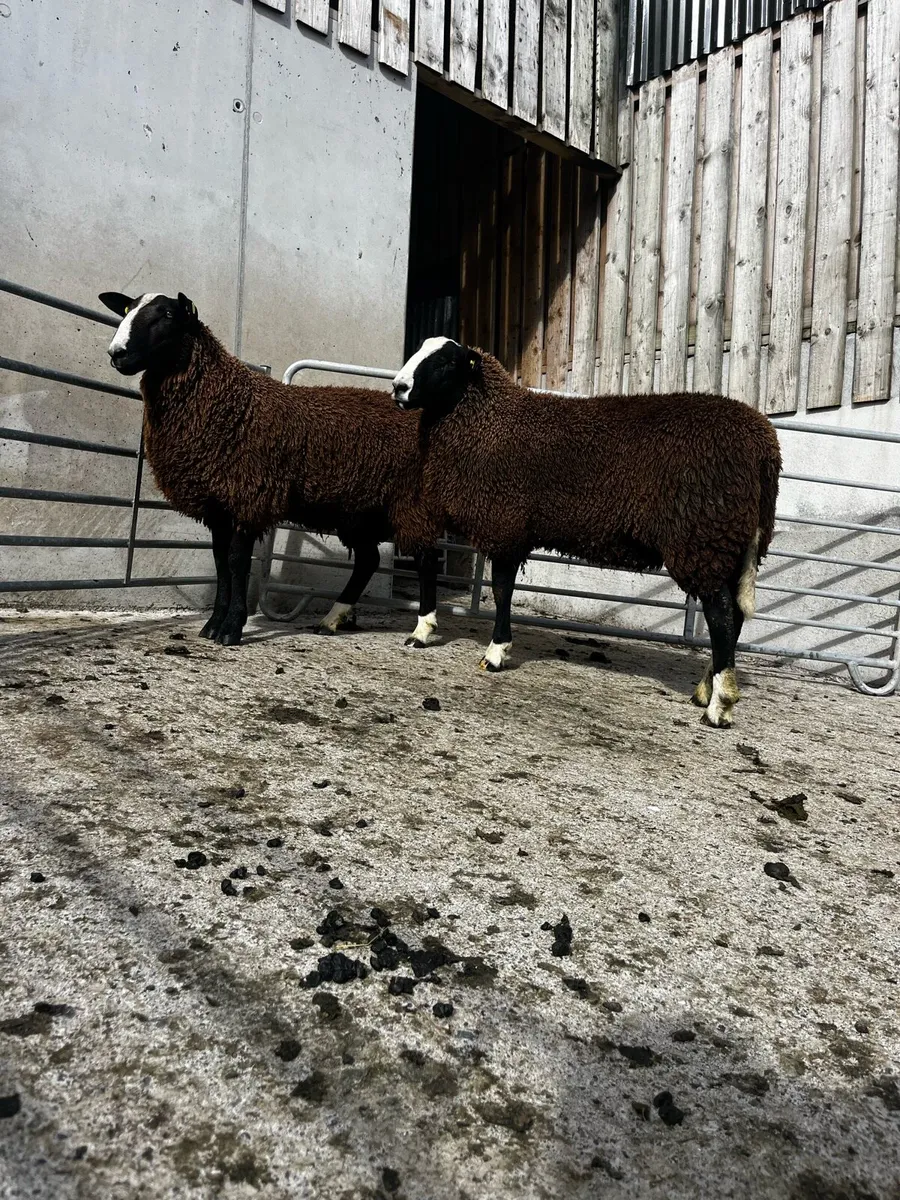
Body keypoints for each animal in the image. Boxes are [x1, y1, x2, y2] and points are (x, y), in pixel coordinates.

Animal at [100, 290, 441, 647]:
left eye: (167, 314)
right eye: (127, 309)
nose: (117, 354)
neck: (227, 401)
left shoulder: (249, 496)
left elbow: (236, 562)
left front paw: (231, 628)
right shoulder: (218, 506)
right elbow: (220, 562)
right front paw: (213, 625)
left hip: (410, 502)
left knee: (426, 559)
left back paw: (421, 631)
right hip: (357, 512)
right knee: (368, 560)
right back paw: (331, 619)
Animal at [391, 336, 782, 728]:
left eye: (447, 362)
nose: (398, 387)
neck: (489, 419)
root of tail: (763, 445)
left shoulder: (505, 523)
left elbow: (501, 591)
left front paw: (496, 652)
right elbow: (439, 570)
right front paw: (427, 632)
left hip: (703, 537)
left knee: (721, 616)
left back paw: (719, 706)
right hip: (731, 542)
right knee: (735, 616)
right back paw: (705, 689)